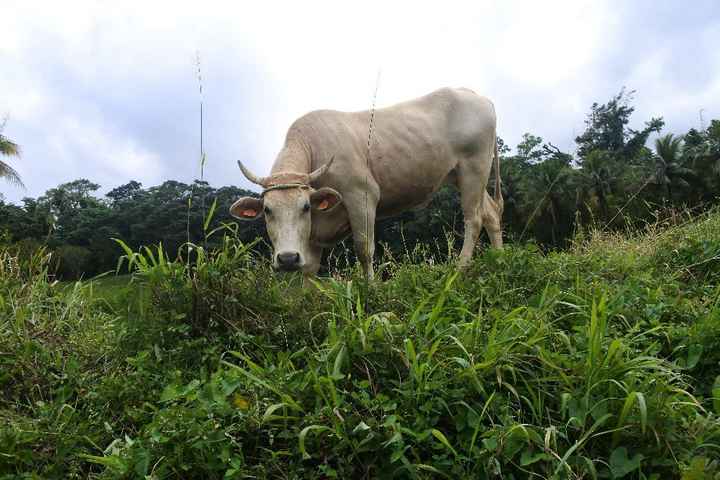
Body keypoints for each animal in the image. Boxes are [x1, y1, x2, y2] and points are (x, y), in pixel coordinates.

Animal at [231, 87, 503, 279]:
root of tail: (473, 94)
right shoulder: (313, 232)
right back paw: (499, 260)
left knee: (474, 218)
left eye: (305, 207)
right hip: (461, 174)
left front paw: (370, 290)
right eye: (267, 210)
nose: (287, 258)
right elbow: (309, 268)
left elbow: (364, 250)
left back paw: (459, 270)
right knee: (490, 214)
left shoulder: (361, 194)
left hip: (474, 167)